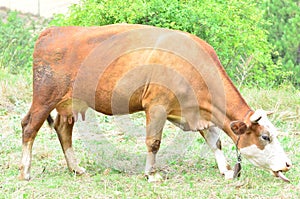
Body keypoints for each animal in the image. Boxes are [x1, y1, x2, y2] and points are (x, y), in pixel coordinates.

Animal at [18, 23, 290, 182]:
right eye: (266, 136)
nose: (288, 164)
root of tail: (54, 30)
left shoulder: (196, 111)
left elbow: (215, 140)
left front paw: (225, 170)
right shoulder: (157, 105)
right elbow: (154, 142)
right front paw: (152, 174)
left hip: (69, 102)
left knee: (64, 129)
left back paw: (76, 169)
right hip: (45, 95)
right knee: (29, 126)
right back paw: (26, 171)